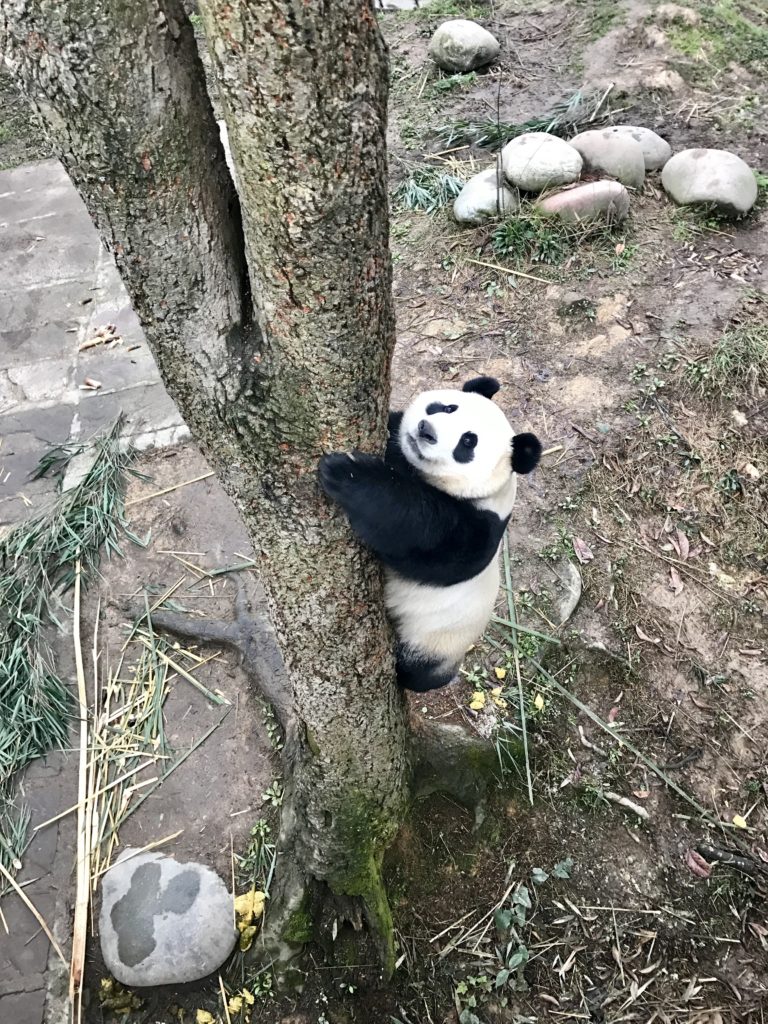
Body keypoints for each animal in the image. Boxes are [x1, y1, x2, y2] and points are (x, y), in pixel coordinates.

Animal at [319, 376, 540, 696]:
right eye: (448, 407)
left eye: (468, 441)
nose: (426, 430)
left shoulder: (479, 526)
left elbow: (422, 535)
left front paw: (349, 475)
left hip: (437, 640)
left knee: (420, 669)